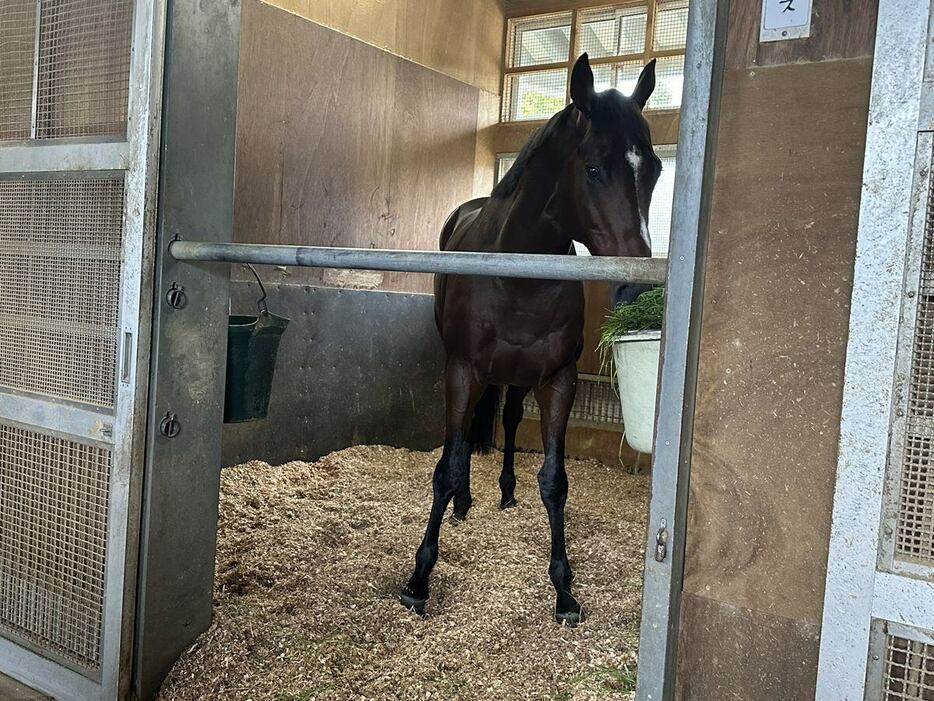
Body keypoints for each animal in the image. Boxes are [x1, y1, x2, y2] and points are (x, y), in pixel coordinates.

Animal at [398, 53, 660, 624]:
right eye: (593, 168)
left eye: (653, 169)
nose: (635, 285)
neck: (518, 273)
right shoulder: (461, 370)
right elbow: (446, 467)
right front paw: (419, 578)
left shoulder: (558, 380)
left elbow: (555, 480)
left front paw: (564, 590)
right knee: (466, 440)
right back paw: (464, 504)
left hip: (518, 378)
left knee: (512, 418)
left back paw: (505, 492)